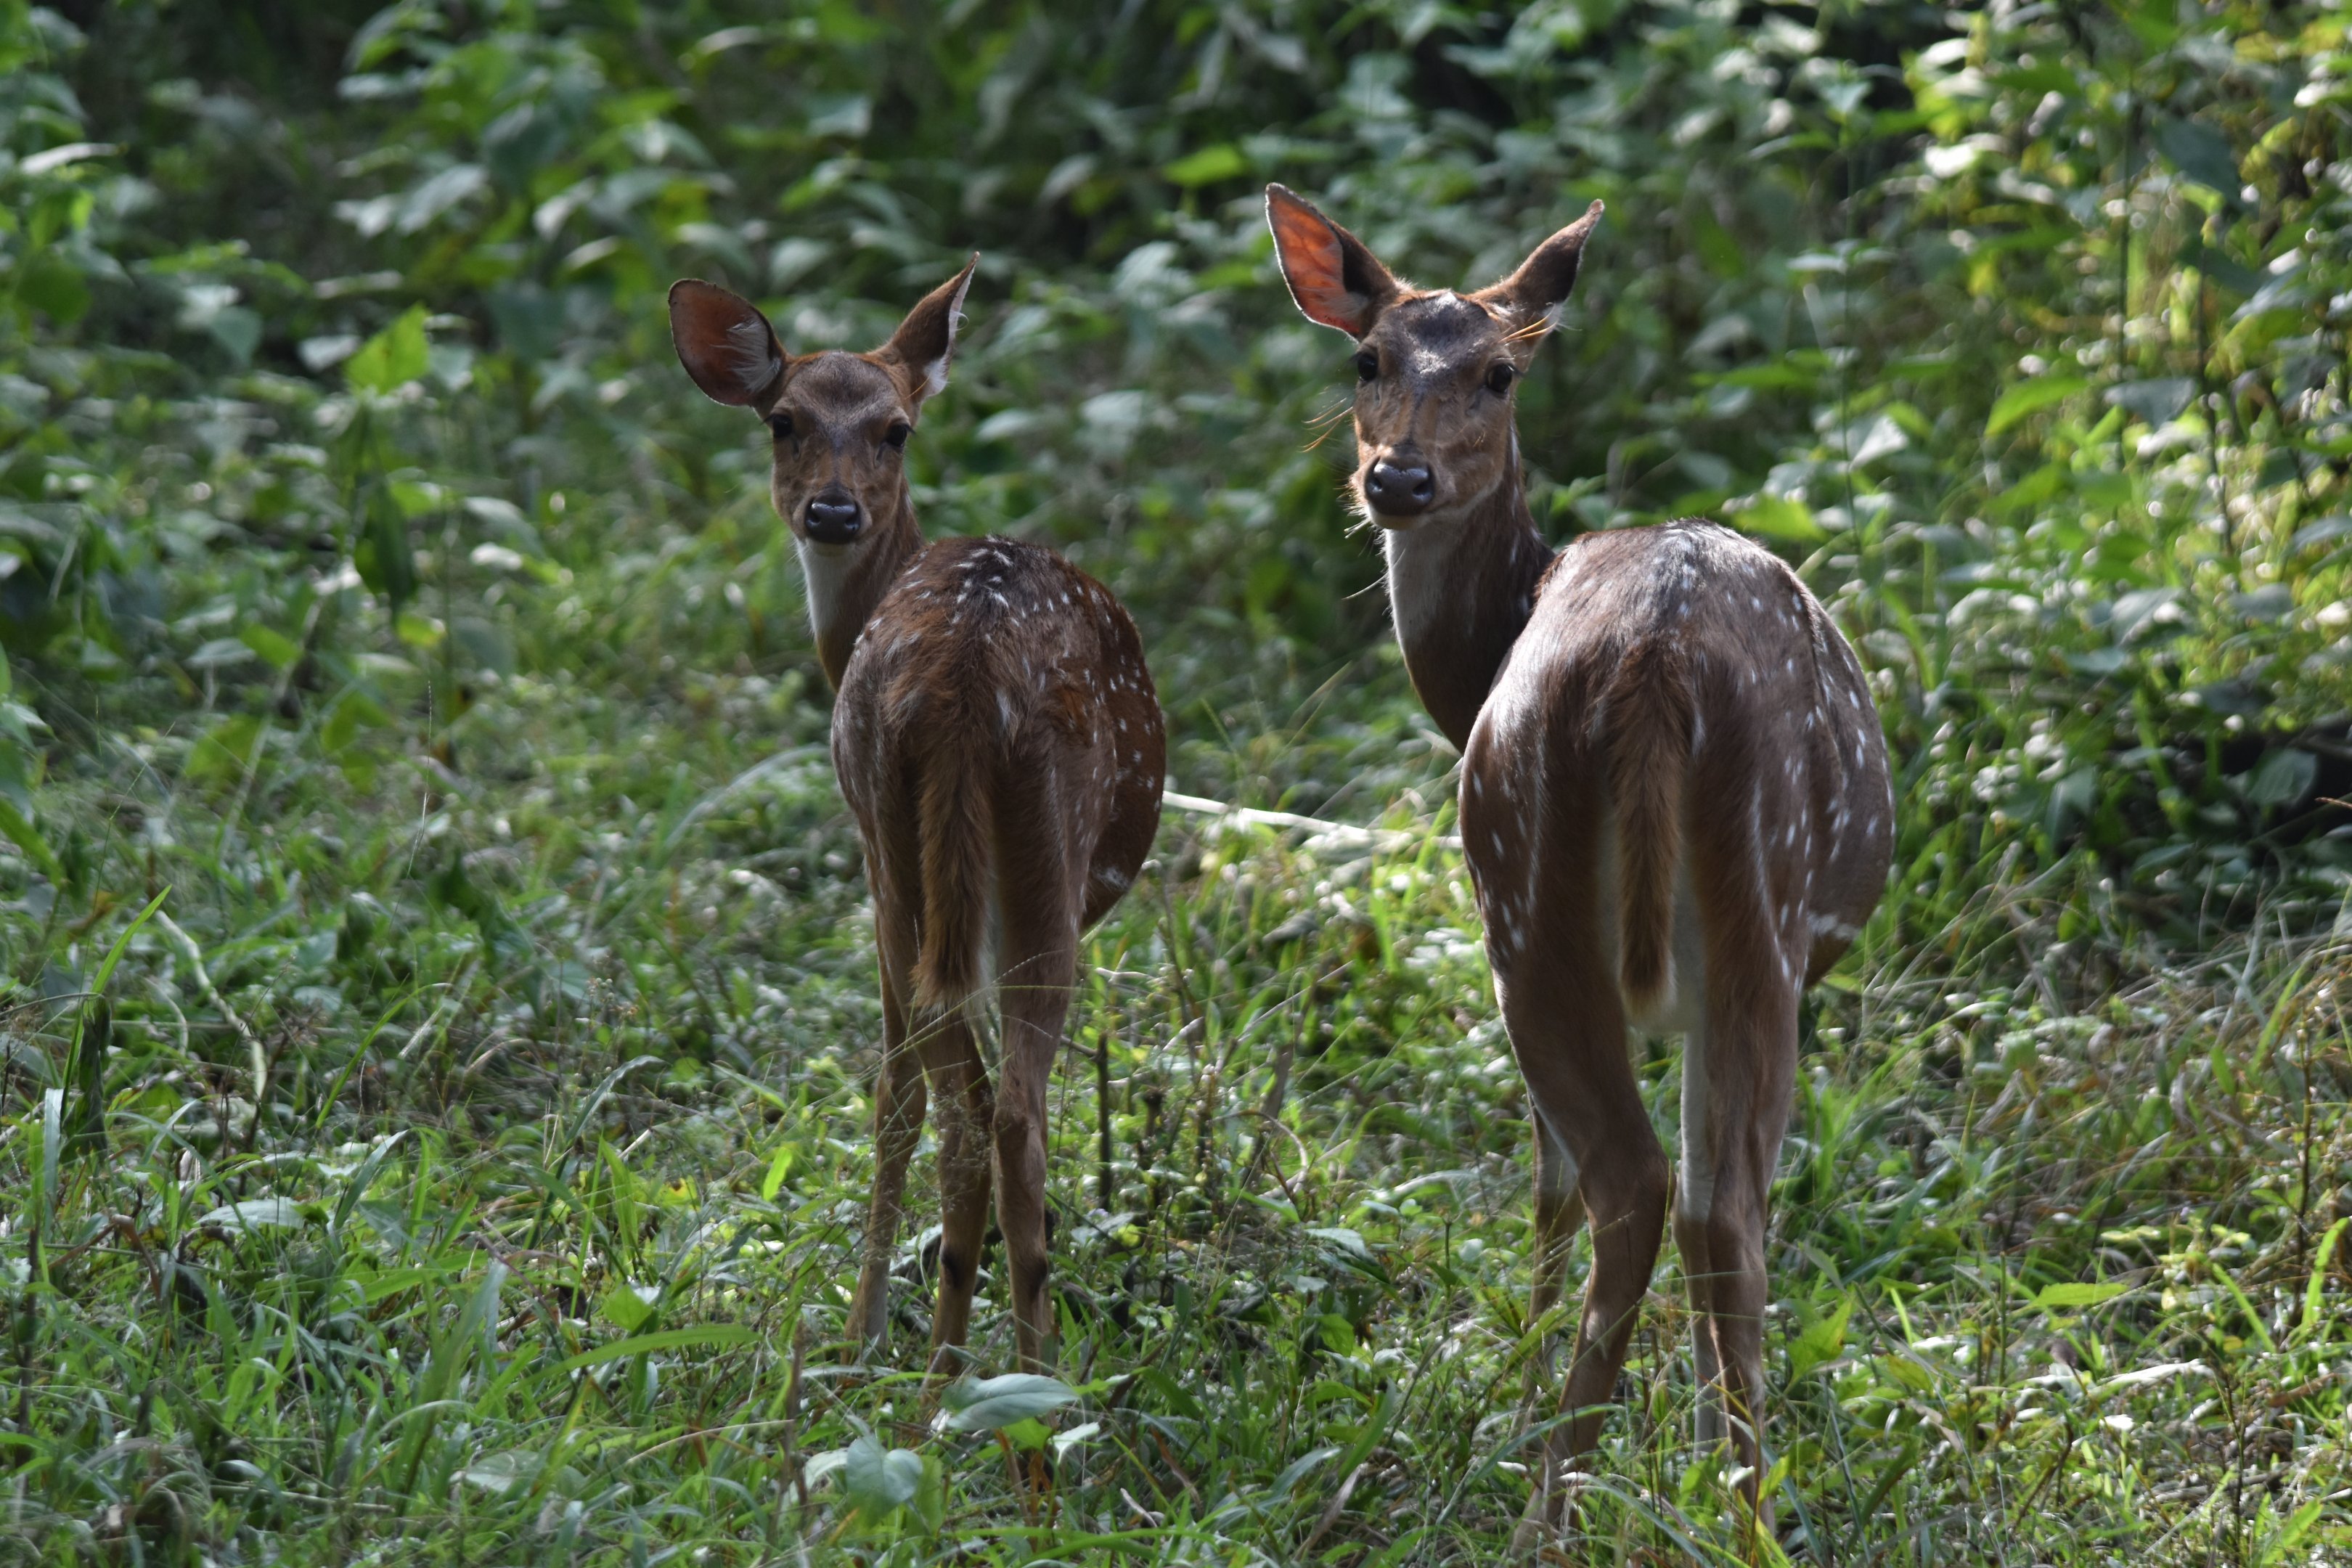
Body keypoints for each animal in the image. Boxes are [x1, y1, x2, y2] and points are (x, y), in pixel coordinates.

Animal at [668, 259, 1165, 1376]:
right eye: (783, 421)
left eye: (895, 428)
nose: (832, 511)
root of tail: (969, 673)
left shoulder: (866, 860)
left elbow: (891, 1092)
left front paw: (860, 1333)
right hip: (1034, 874)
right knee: (1006, 1109)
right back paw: (1009, 1378)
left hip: (912, 860)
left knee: (961, 1103)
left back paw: (960, 1372)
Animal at [1266, 185, 1893, 1548]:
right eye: (1366, 359)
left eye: (1499, 373)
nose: (1398, 477)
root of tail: (1654, 664)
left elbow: (1547, 1180)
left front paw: (1518, 1377)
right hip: (1724, 920)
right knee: (1704, 1203)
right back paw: (1710, 1509)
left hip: (1533, 904)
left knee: (1636, 1187)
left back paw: (1564, 1494)